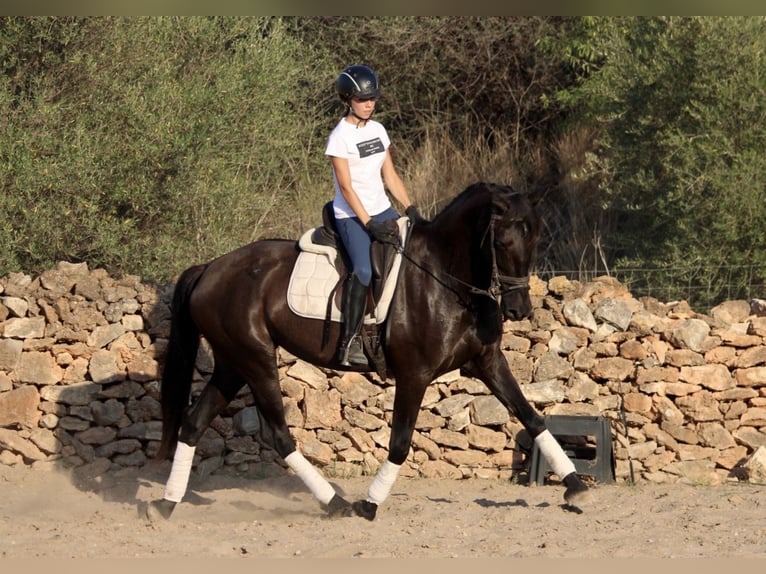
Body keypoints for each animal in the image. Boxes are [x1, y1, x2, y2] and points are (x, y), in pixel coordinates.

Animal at [147, 182, 592, 524]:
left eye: (535, 237)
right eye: (500, 241)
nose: (519, 309)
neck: (447, 278)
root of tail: (209, 268)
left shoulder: (487, 362)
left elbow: (532, 417)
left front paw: (575, 486)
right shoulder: (414, 375)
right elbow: (399, 443)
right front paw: (369, 504)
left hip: (232, 362)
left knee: (193, 423)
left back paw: (166, 504)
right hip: (255, 359)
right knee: (277, 435)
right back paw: (336, 503)